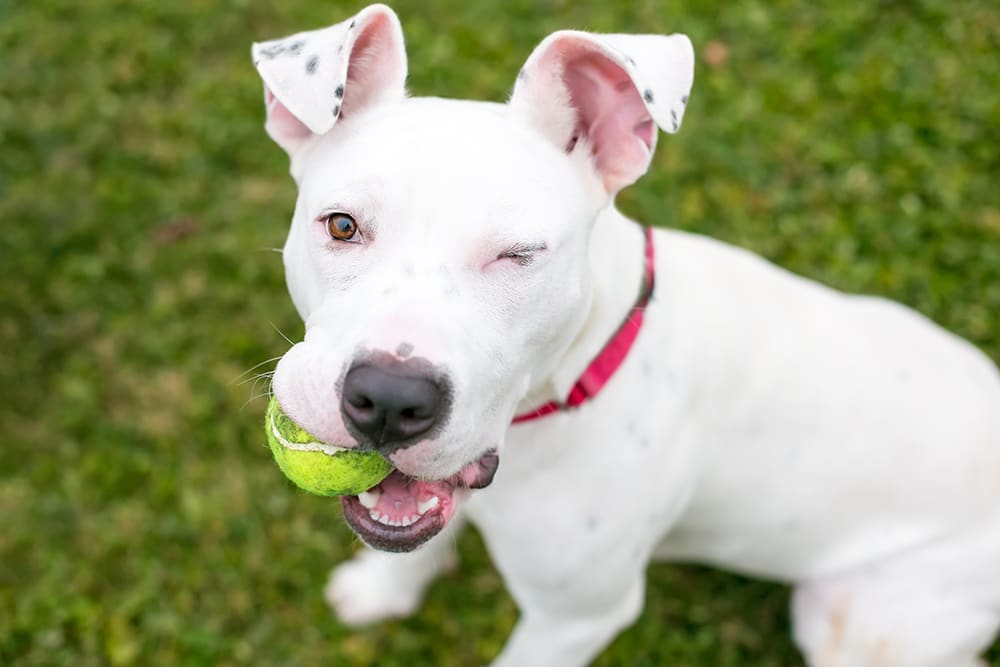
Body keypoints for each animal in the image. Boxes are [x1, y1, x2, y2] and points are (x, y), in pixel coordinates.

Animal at [254, 6, 1000, 667]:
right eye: (343, 225)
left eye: (519, 255)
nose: (387, 399)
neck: (566, 389)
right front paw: (382, 591)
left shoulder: (573, 620)